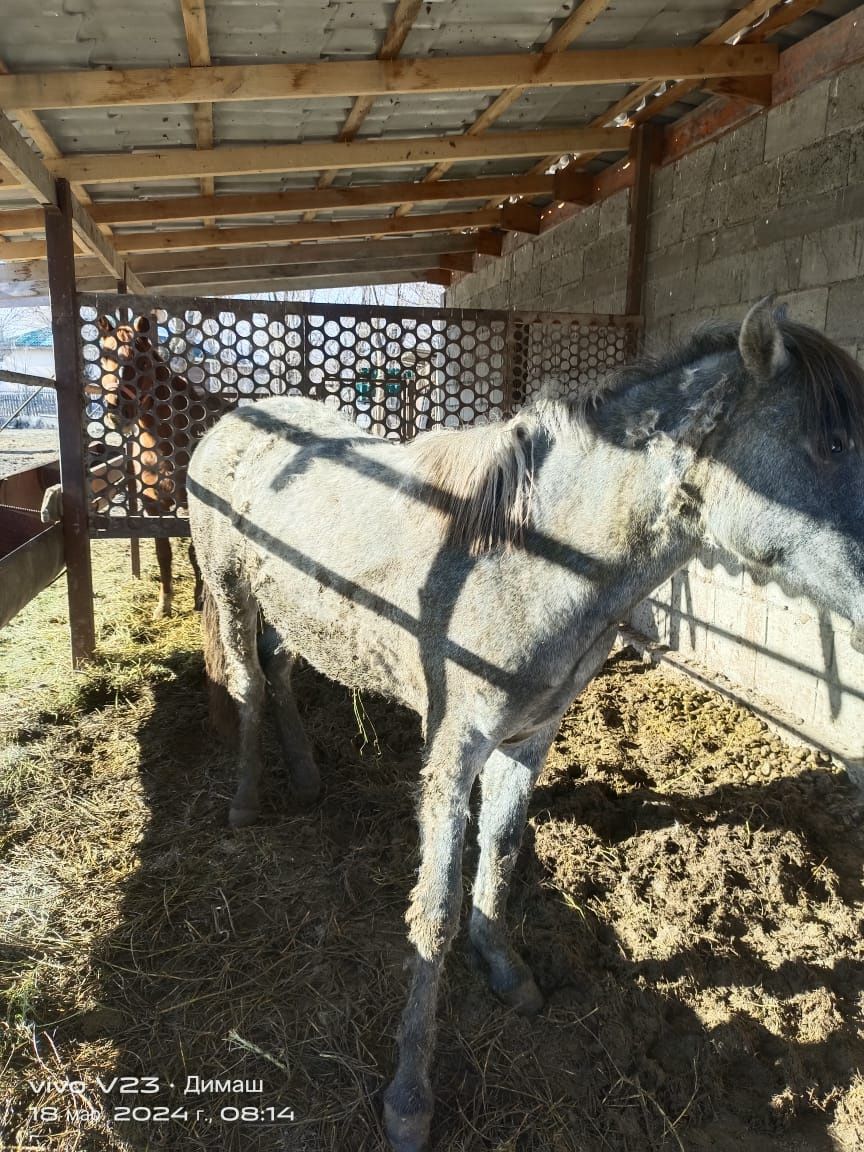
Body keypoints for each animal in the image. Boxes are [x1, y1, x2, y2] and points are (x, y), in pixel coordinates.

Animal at [186, 301, 864, 1152]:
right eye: (831, 444)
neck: (528, 558)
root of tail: (228, 419)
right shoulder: (453, 749)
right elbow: (434, 909)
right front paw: (409, 1097)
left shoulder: (530, 738)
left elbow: (503, 853)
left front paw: (505, 968)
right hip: (231, 590)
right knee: (248, 686)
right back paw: (247, 802)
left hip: (294, 610)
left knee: (279, 676)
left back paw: (307, 779)